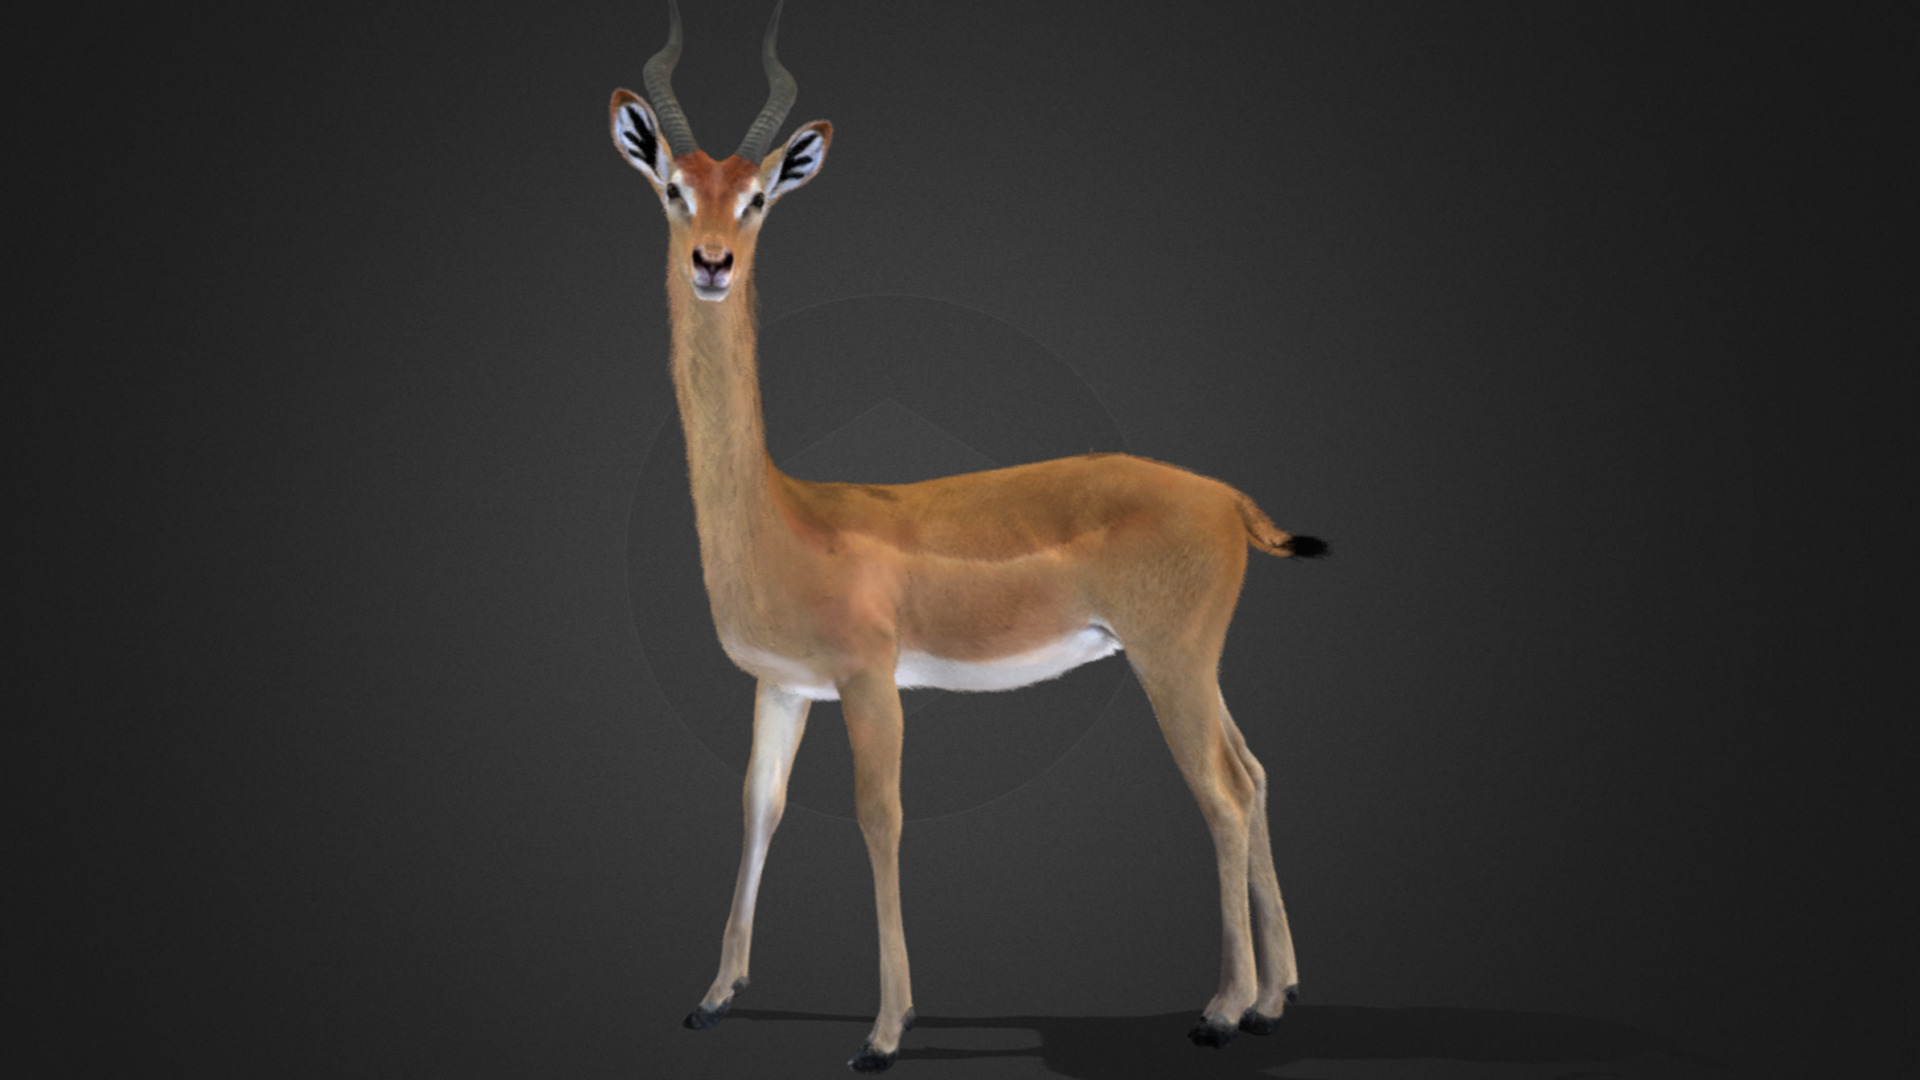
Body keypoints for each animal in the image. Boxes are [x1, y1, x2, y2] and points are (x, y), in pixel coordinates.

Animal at [610, 3, 1328, 1071]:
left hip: (1170, 661)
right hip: (1191, 665)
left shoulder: (870, 680)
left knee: (1224, 793)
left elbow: (880, 819)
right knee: (1256, 772)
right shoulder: (783, 686)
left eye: (757, 200)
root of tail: (1231, 501)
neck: (784, 518)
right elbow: (758, 809)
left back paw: (1224, 1010)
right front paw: (714, 998)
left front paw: (884, 1032)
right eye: (673, 188)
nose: (711, 263)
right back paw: (1276, 998)